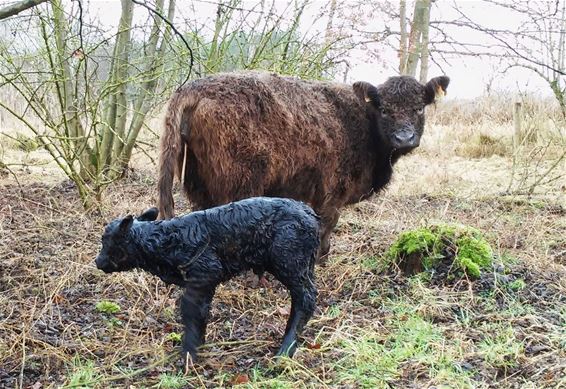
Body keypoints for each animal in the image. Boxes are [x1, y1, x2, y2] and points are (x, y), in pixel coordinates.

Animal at [95, 197, 322, 360]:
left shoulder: (206, 271)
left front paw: (188, 354)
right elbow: (201, 311)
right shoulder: (204, 282)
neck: (166, 241)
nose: (97, 261)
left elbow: (189, 309)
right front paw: (199, 344)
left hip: (290, 261)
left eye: (106, 241)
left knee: (305, 298)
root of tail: (309, 212)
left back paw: (284, 351)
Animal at [158, 71, 450, 256]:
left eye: (419, 108)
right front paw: (319, 258)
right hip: (240, 183)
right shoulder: (332, 192)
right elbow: (327, 225)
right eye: (385, 110)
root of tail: (194, 86)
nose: (404, 138)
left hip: (197, 178)